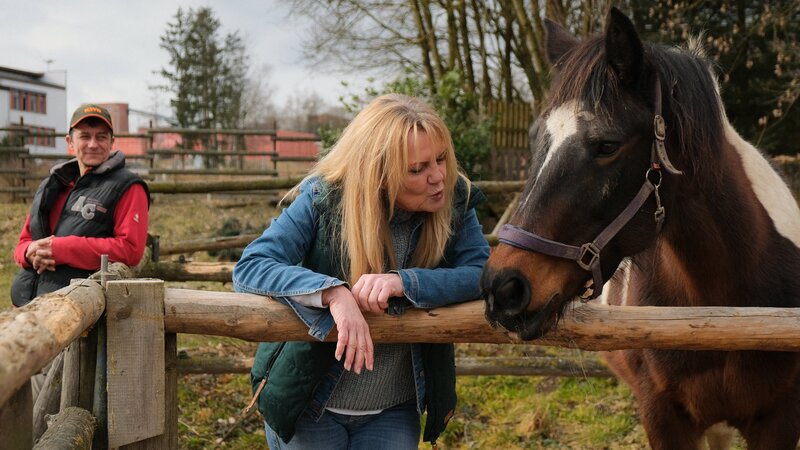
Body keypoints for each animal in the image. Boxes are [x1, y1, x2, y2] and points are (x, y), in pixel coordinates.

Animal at [481, 8, 800, 450]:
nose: (503, 288)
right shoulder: (663, 418)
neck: (724, 313)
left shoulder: (779, 421)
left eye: (607, 145)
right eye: (533, 139)